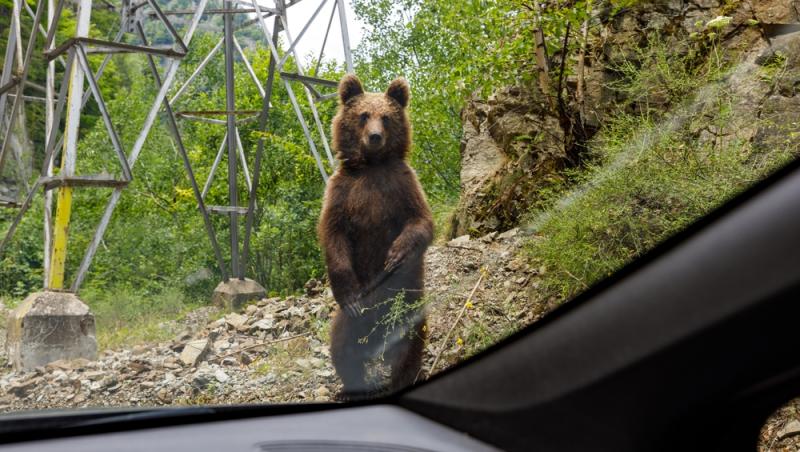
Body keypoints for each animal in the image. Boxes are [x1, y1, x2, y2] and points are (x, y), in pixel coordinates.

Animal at [318, 74, 434, 400]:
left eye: (386, 117)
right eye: (363, 115)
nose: (374, 137)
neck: (371, 166)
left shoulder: (402, 185)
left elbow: (421, 221)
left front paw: (396, 254)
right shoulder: (342, 193)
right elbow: (334, 236)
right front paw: (350, 294)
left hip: (407, 304)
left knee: (410, 341)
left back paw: (403, 377)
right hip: (351, 320)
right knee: (343, 345)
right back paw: (353, 387)